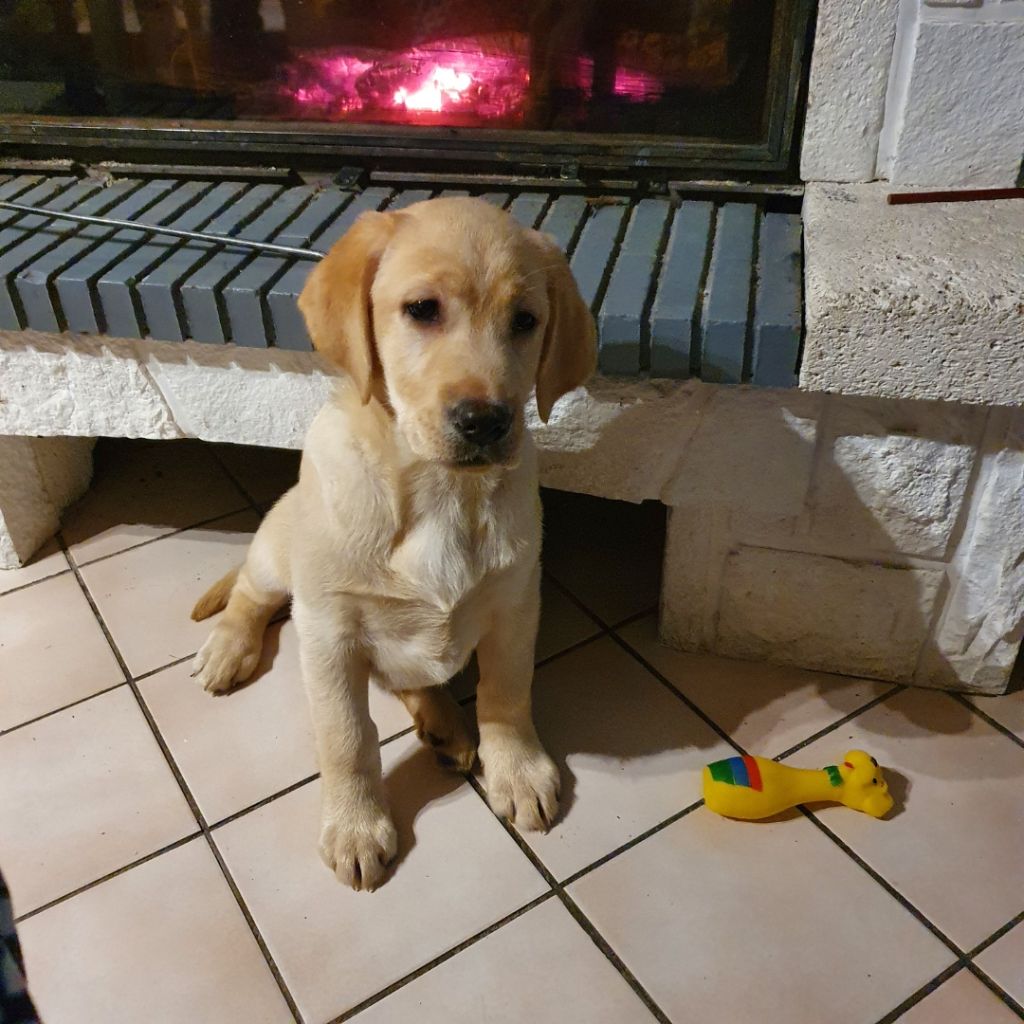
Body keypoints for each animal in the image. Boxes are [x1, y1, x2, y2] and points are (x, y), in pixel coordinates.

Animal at [188, 197, 598, 888]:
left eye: (526, 320)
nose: (484, 421)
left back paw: (448, 726)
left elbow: (507, 692)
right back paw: (227, 649)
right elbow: (347, 737)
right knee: (248, 591)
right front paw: (355, 825)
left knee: (414, 678)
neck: (437, 490)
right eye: (422, 309)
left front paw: (516, 768)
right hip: (276, 552)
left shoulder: (517, 601)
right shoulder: (329, 633)